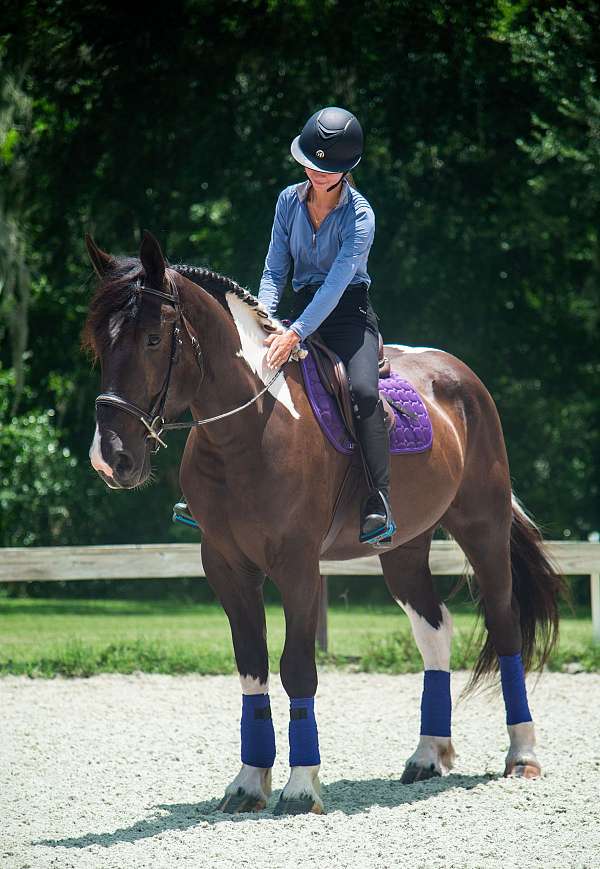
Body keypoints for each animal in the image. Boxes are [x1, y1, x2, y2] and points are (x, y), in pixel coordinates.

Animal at [82, 229, 565, 816]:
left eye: (153, 339)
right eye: (99, 345)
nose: (111, 458)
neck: (251, 428)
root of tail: (459, 375)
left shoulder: (297, 566)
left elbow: (296, 667)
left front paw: (300, 786)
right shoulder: (225, 566)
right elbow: (251, 666)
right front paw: (248, 783)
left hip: (483, 528)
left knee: (504, 624)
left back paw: (522, 755)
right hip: (403, 549)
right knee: (434, 630)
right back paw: (428, 755)